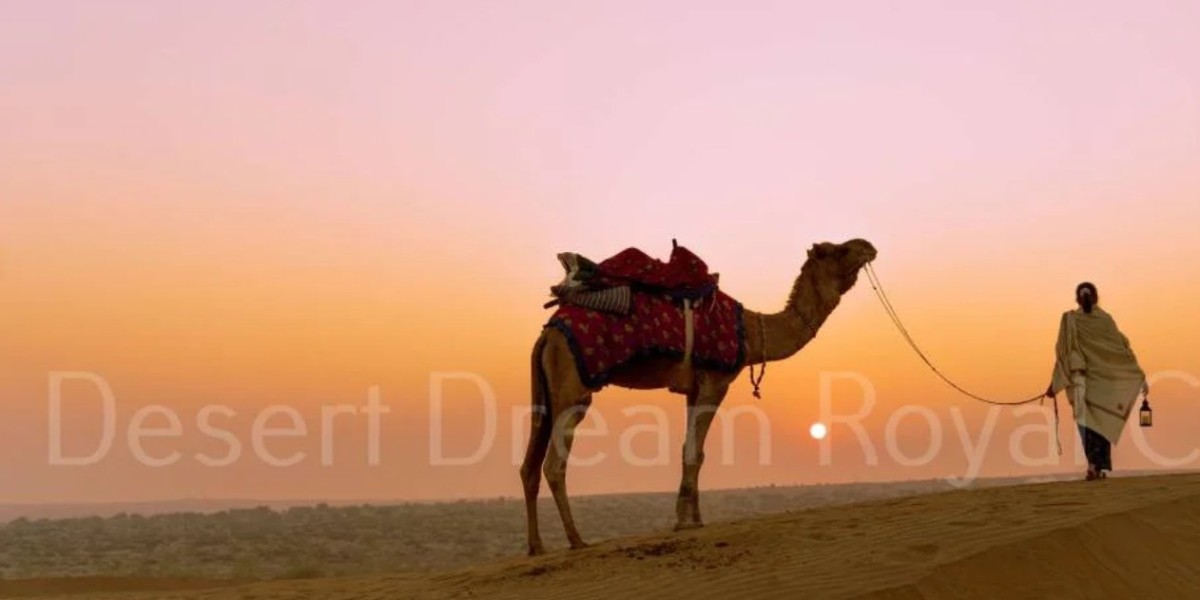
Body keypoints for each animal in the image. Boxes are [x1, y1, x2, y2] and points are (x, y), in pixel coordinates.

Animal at [520, 238, 878, 555]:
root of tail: (547, 334)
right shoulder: (714, 382)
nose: (869, 246)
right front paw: (685, 522)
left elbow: (691, 450)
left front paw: (695, 518)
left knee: (529, 464)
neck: (749, 332)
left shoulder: (694, 388)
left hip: (545, 392)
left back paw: (536, 547)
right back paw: (576, 540)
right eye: (838, 250)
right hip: (573, 389)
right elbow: (695, 451)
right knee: (554, 463)